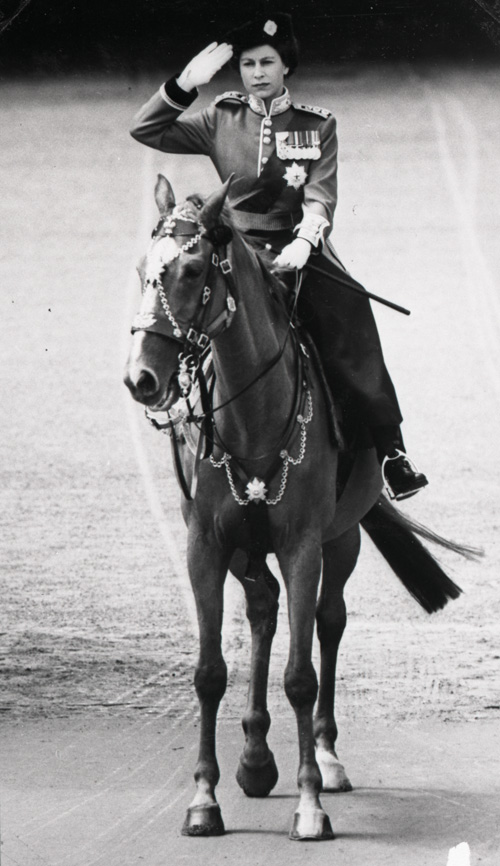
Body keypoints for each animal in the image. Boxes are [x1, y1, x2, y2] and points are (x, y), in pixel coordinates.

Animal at [124, 174, 474, 842]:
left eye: (192, 269)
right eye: (140, 269)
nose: (142, 379)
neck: (250, 413)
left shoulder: (302, 545)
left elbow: (301, 675)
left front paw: (310, 805)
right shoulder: (206, 546)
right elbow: (210, 671)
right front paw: (204, 799)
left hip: (341, 541)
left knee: (328, 623)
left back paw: (328, 759)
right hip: (246, 549)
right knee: (263, 611)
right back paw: (256, 759)